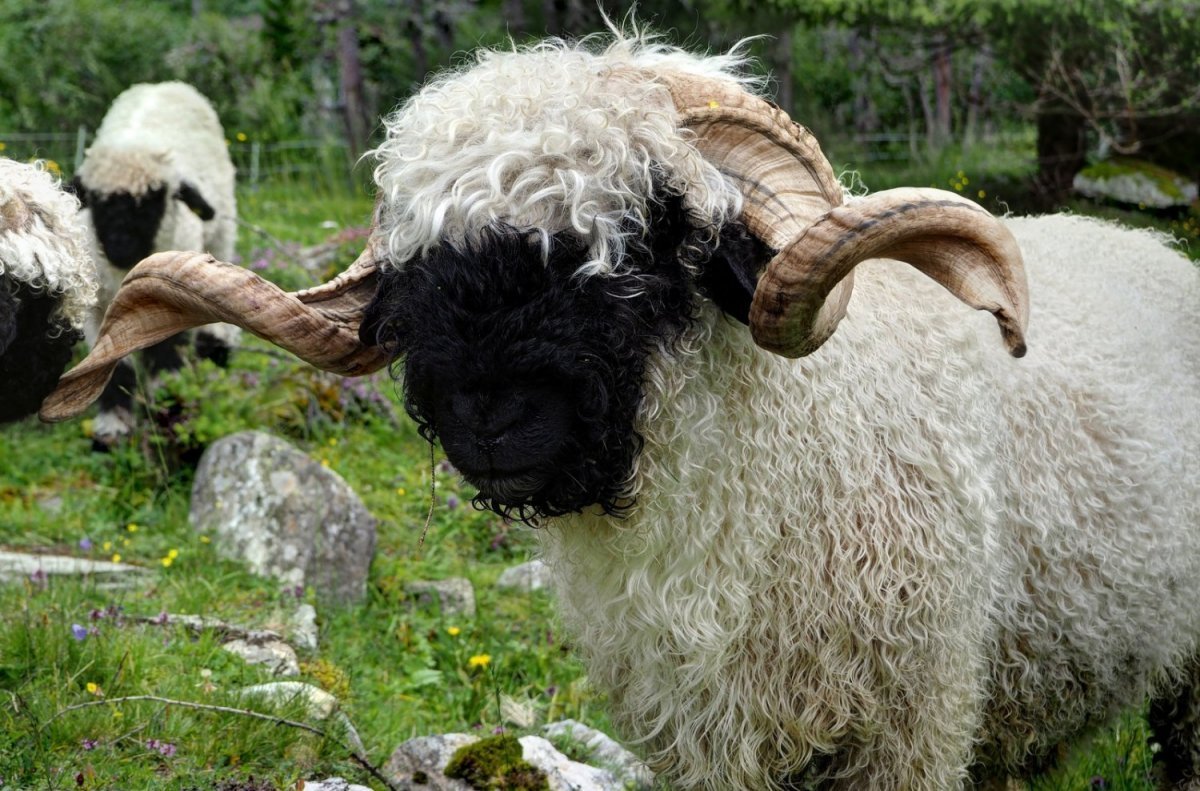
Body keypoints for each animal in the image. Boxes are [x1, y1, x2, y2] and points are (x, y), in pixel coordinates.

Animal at [73, 80, 239, 447]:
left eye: (153, 200)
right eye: (97, 201)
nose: (121, 246)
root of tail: (162, 85)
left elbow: (166, 357)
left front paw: (170, 414)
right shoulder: (97, 308)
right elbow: (110, 366)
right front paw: (111, 430)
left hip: (221, 231)